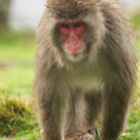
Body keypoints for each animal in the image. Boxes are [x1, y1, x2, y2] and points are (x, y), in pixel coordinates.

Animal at [33, 0, 136, 140]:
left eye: (77, 25)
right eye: (64, 26)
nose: (72, 43)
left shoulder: (116, 37)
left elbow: (118, 86)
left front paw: (109, 135)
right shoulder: (49, 50)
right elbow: (51, 94)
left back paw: (88, 126)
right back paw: (74, 133)